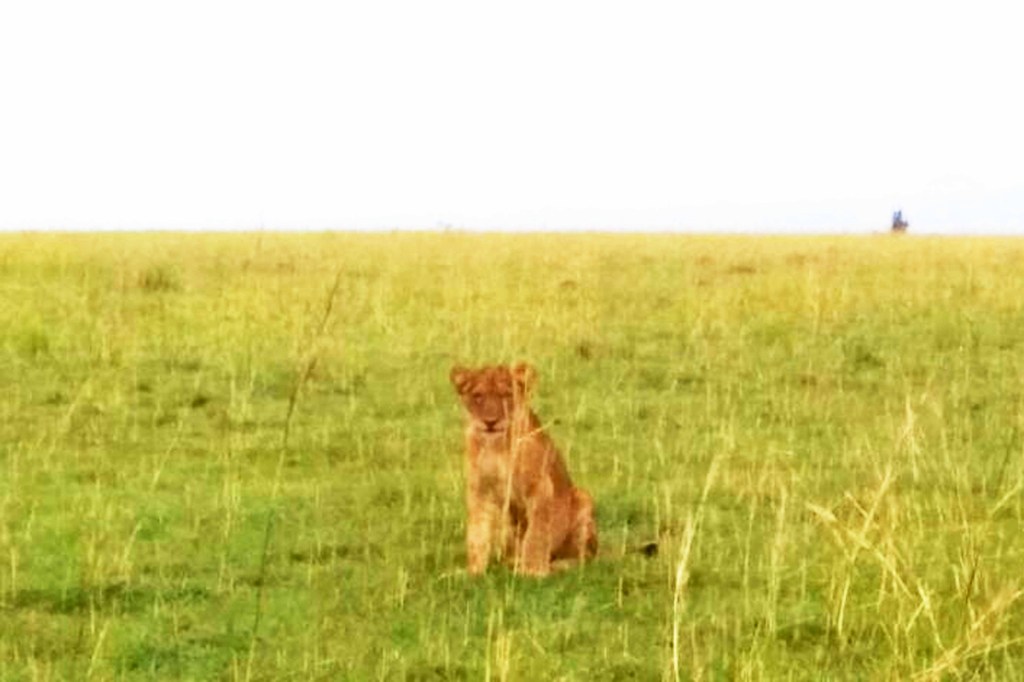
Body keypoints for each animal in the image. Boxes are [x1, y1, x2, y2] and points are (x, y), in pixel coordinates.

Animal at [450, 362, 598, 576]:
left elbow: (537, 534)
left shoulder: (540, 487)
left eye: (506, 395)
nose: (490, 422)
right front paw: (474, 572)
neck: (496, 446)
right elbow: (477, 533)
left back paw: (556, 565)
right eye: (478, 396)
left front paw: (533, 572)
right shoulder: (479, 490)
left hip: (583, 498)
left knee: (583, 558)